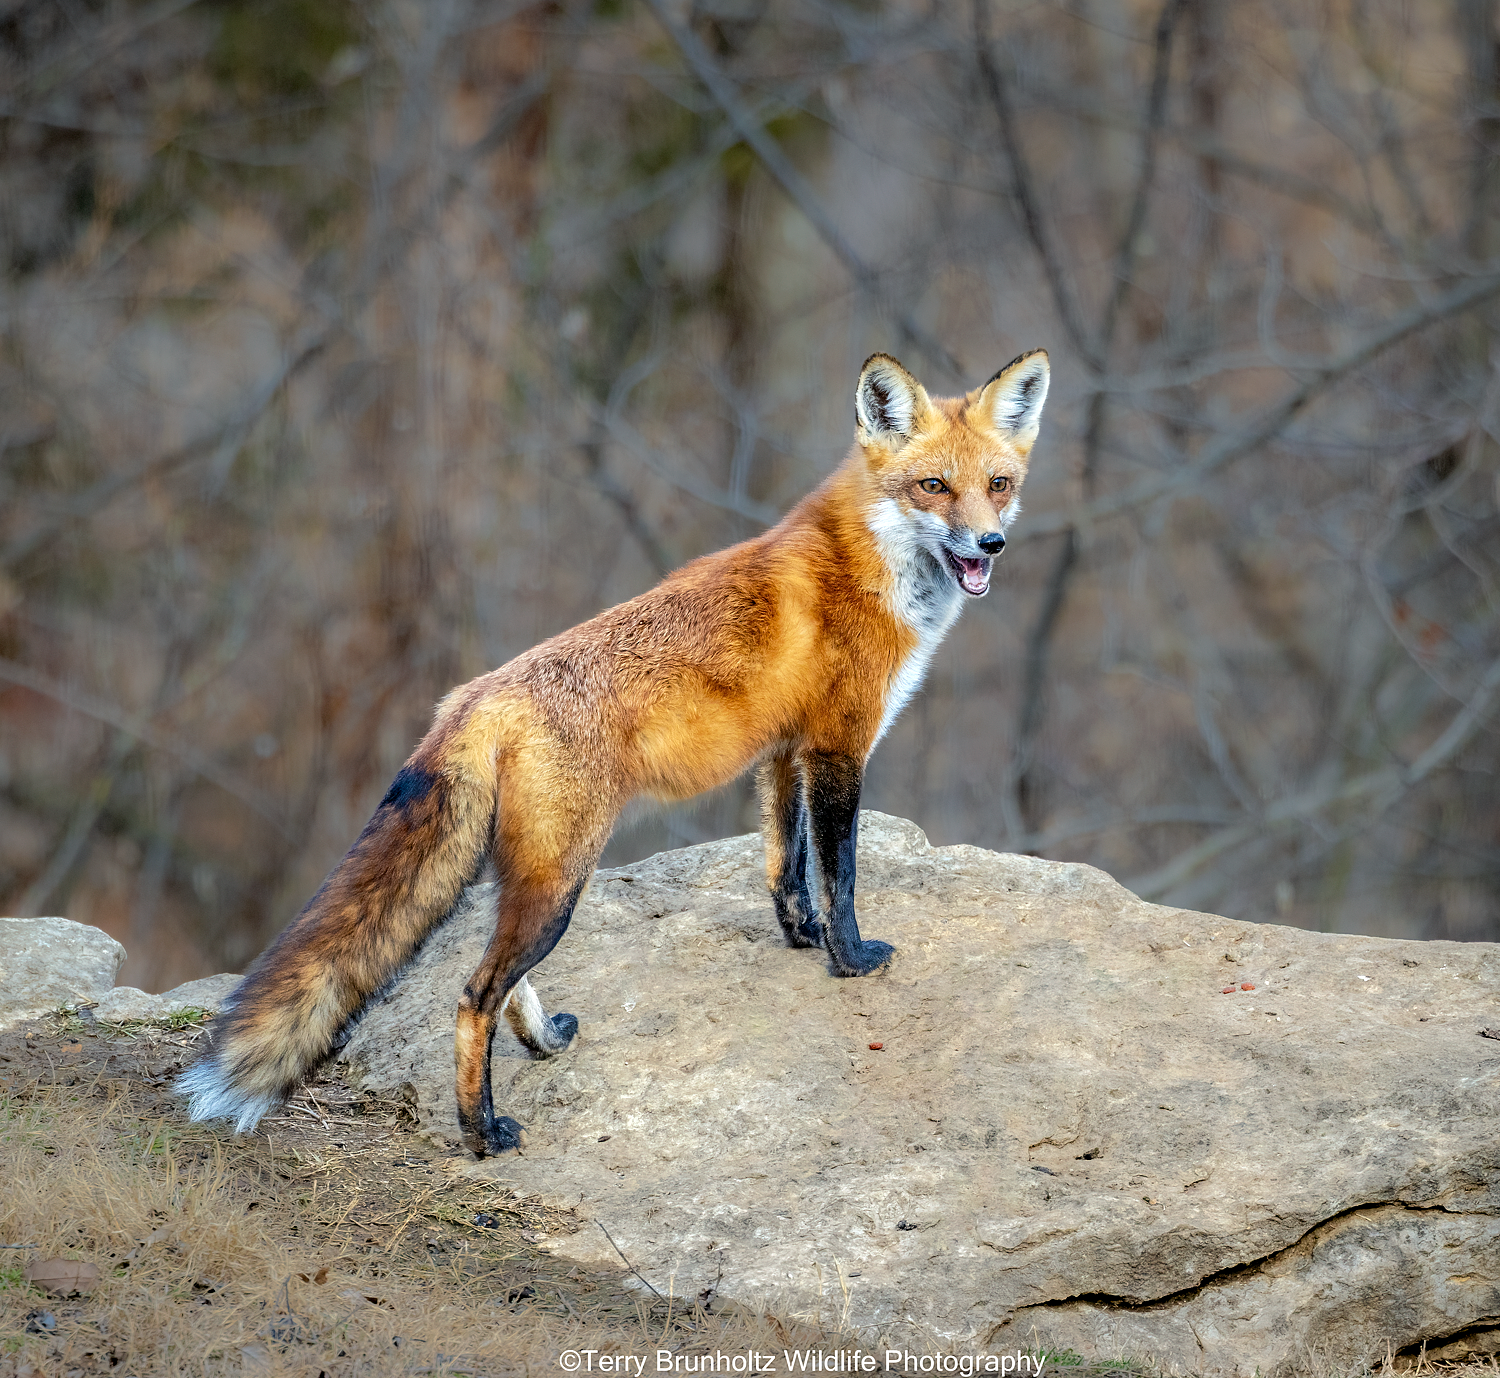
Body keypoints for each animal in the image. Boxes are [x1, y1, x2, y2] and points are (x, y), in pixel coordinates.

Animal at [178, 348, 1050, 1157]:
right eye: (933, 486)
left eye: (999, 484)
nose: (990, 544)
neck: (872, 562)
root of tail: (475, 695)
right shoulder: (839, 745)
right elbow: (840, 875)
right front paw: (850, 958)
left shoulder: (785, 752)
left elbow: (785, 866)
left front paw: (801, 940)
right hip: (563, 877)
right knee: (474, 992)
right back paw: (482, 1132)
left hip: (531, 874)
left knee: (501, 981)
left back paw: (542, 1044)